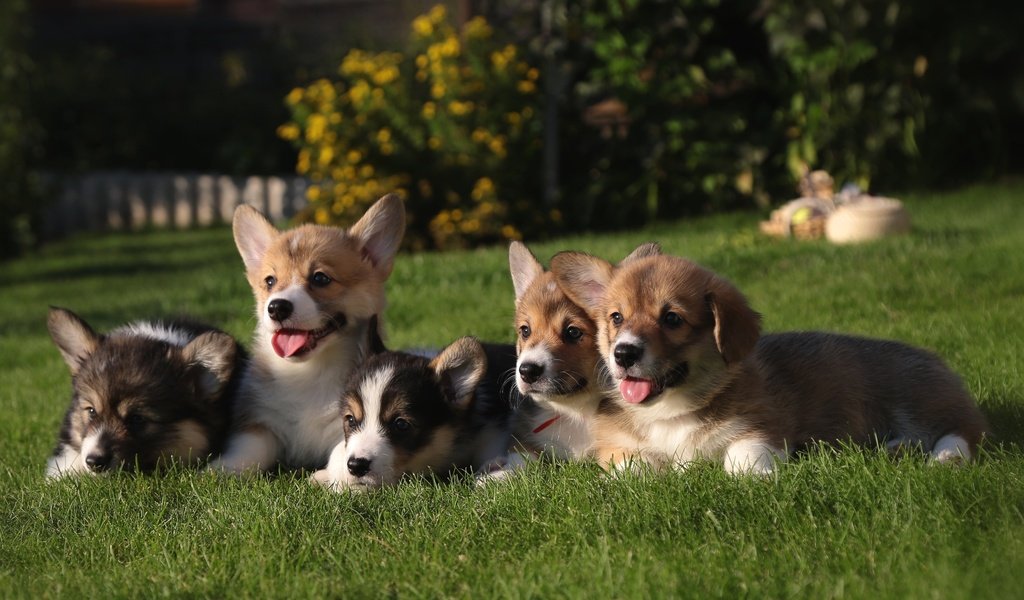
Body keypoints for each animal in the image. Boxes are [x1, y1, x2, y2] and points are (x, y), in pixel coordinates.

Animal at [209, 193, 405, 475]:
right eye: (270, 281)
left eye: (320, 278)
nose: (277, 308)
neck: (308, 372)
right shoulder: (262, 420)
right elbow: (248, 447)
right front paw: (220, 469)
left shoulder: (349, 425)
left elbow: (342, 452)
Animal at [507, 240, 659, 460]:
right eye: (525, 331)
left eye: (573, 332)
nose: (527, 371)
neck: (575, 412)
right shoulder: (522, 437)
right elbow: (520, 456)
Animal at [552, 249, 991, 475]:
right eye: (616, 317)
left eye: (672, 318)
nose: (623, 353)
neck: (672, 412)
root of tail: (936, 360)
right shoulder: (616, 446)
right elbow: (635, 468)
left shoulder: (762, 426)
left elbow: (741, 462)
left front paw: (751, 478)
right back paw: (895, 448)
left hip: (921, 400)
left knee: (964, 432)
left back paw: (943, 458)